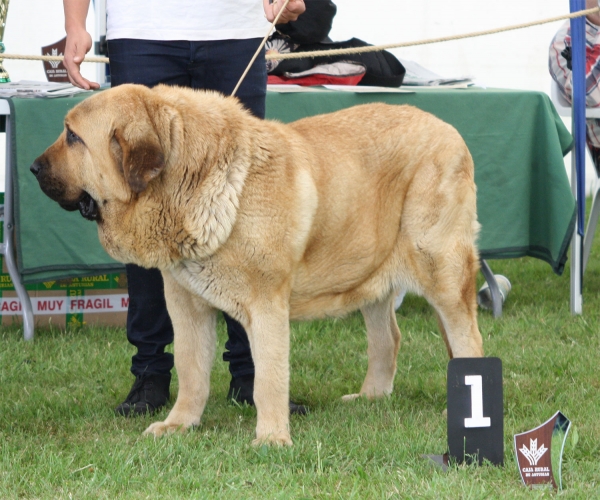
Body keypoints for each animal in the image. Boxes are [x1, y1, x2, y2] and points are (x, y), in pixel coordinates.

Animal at [30, 83, 486, 446]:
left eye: (73, 136)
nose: (33, 167)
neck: (191, 183)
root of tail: (449, 130)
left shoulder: (266, 306)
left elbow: (268, 377)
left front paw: (271, 439)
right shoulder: (186, 306)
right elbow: (191, 370)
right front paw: (179, 425)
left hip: (441, 270)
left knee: (467, 338)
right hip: (367, 272)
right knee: (387, 337)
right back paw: (370, 397)